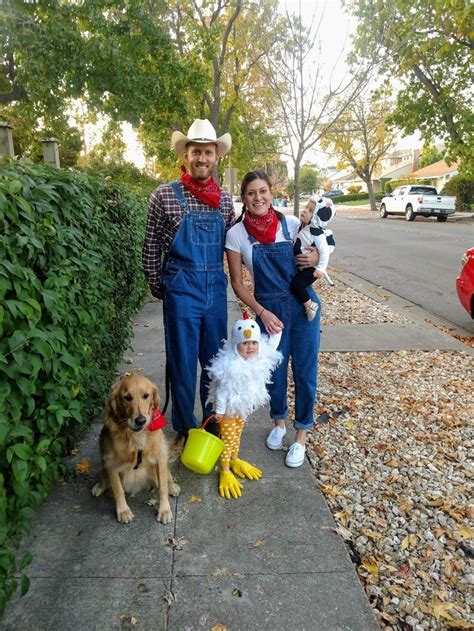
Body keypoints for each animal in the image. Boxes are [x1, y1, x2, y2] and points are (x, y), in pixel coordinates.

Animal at [90, 376, 180, 524]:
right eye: (127, 397)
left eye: (146, 395)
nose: (140, 420)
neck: (136, 436)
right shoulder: (111, 464)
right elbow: (118, 490)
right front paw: (123, 511)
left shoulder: (160, 458)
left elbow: (162, 488)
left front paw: (164, 510)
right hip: (103, 460)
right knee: (104, 477)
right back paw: (100, 486)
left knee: (168, 475)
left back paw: (173, 487)